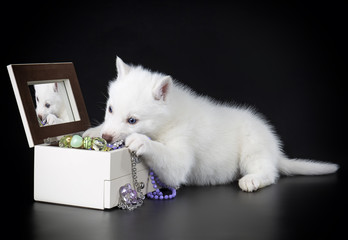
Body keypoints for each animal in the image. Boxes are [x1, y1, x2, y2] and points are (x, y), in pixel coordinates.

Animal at [83, 57, 338, 192]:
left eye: (132, 120)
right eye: (110, 109)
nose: (106, 138)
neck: (168, 117)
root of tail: (276, 153)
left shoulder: (180, 158)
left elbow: (169, 160)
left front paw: (140, 140)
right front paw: (92, 131)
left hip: (254, 147)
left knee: (269, 172)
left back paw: (253, 179)